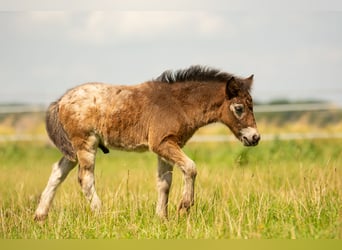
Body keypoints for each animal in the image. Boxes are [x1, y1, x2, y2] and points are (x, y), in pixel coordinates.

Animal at [34, 65, 260, 220]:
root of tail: (61, 101)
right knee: (85, 178)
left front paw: (162, 218)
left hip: (73, 149)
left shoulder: (167, 146)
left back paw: (40, 216)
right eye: (239, 108)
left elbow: (164, 182)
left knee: (57, 173)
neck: (179, 104)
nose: (255, 138)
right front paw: (184, 206)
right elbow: (190, 167)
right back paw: (101, 214)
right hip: (85, 143)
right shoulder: (162, 143)